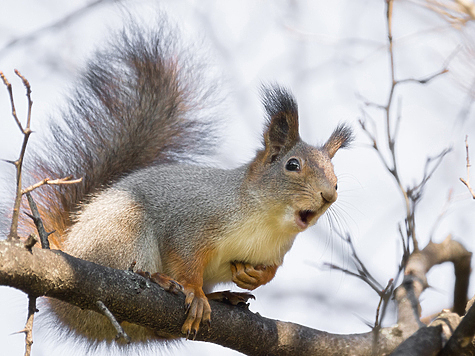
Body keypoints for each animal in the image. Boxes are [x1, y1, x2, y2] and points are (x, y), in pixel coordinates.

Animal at [19, 20, 354, 344]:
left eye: (338, 183)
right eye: (292, 165)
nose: (329, 196)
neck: (267, 221)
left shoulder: (276, 252)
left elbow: (270, 271)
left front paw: (254, 278)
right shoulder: (192, 221)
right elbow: (185, 258)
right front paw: (194, 292)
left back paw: (222, 296)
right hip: (123, 233)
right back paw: (159, 280)